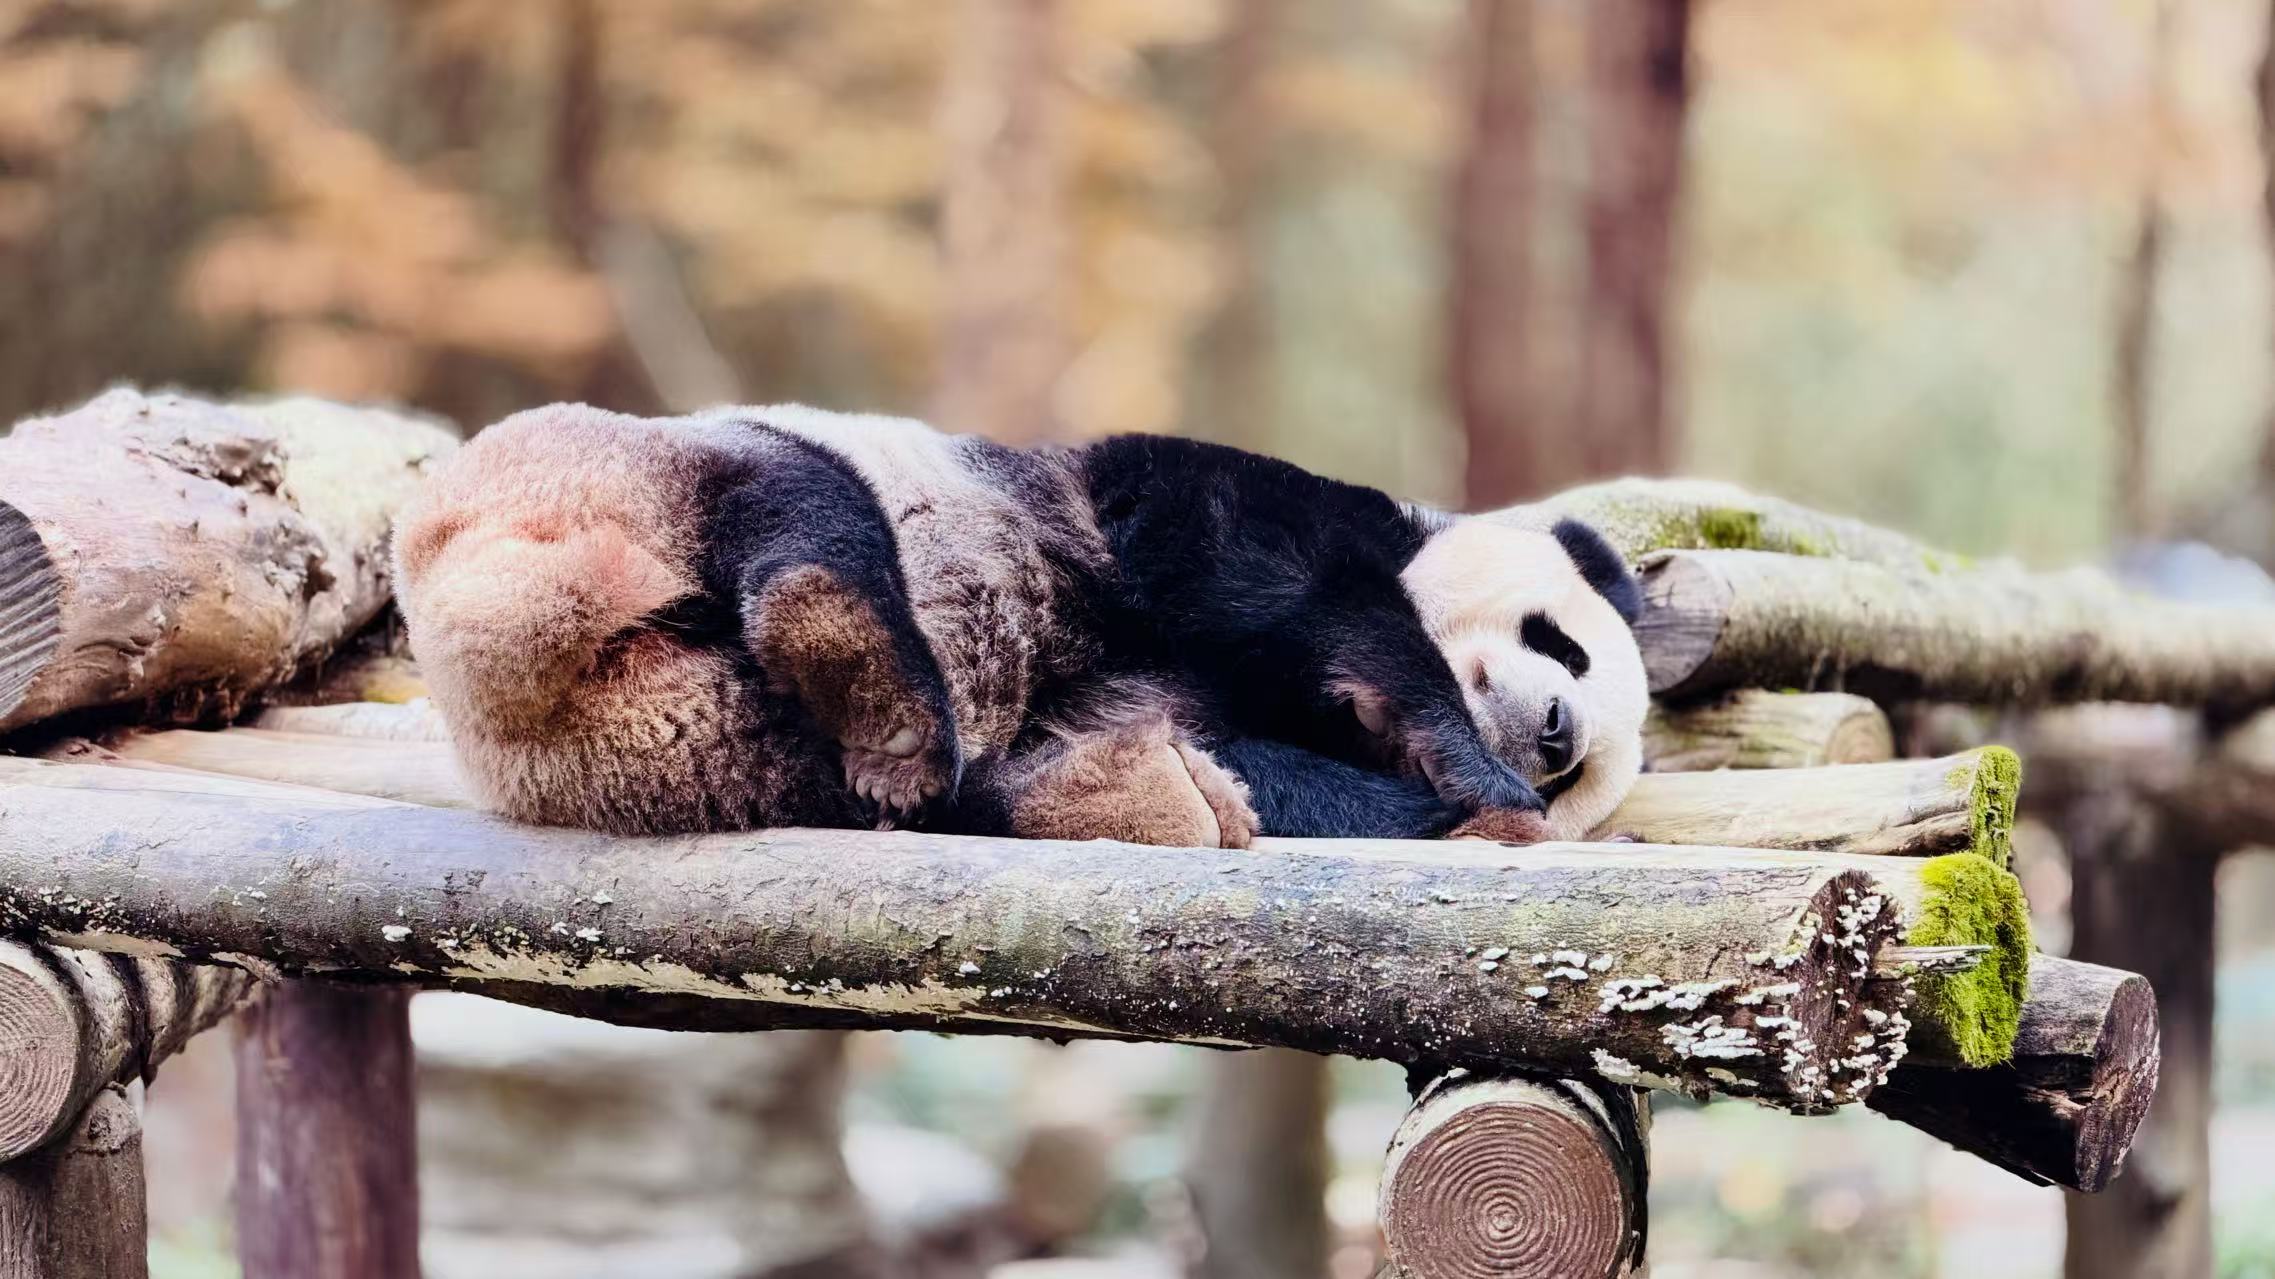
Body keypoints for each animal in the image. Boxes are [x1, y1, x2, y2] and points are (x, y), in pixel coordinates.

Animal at [391, 402, 1647, 845]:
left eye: (1585, 772)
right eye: (1562, 642)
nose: (1553, 734)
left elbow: (1264, 757)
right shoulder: (1188, 499)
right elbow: (1253, 553)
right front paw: (1469, 767)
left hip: (725, 751)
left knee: (959, 785)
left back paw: (1131, 794)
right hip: (611, 459)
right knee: (799, 499)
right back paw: (875, 683)